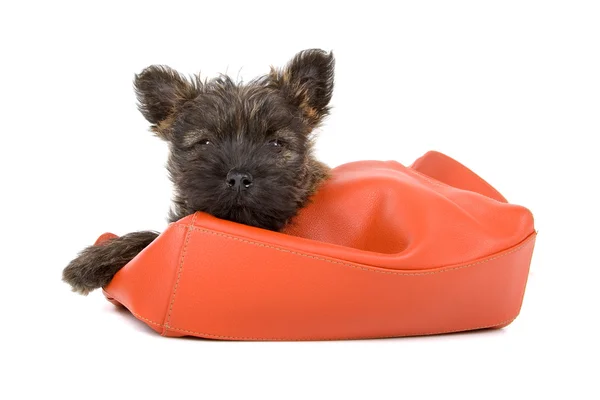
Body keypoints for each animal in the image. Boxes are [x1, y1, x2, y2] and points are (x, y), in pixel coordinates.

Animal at [63, 49, 336, 294]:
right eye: (204, 143)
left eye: (276, 144)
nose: (239, 178)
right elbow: (150, 236)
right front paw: (94, 260)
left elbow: (153, 237)